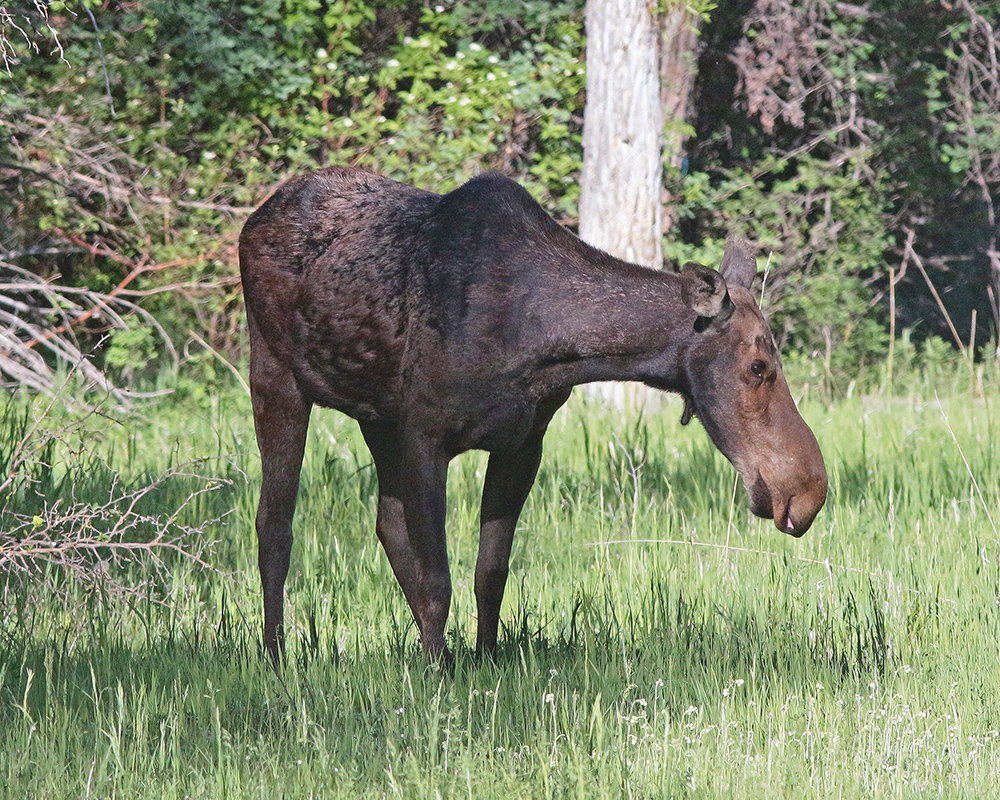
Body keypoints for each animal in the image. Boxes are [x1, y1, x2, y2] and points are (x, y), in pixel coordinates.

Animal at [238, 166, 824, 664]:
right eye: (757, 366)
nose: (809, 490)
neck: (541, 343)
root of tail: (253, 221)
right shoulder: (426, 433)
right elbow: (438, 579)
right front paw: (438, 672)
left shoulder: (521, 443)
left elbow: (490, 571)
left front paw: (483, 658)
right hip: (275, 376)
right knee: (274, 524)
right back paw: (273, 654)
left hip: (376, 419)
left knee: (386, 525)